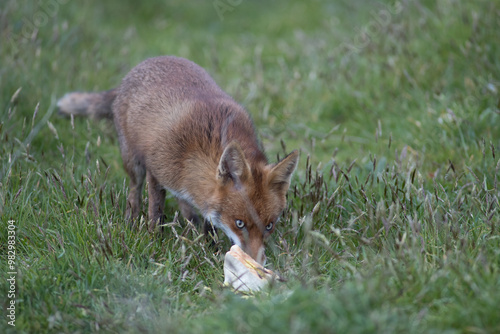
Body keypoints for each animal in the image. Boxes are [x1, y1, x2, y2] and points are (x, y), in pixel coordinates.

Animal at [60, 56, 298, 264]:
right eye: (239, 223)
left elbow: (210, 223)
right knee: (134, 191)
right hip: (133, 162)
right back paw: (131, 219)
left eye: (269, 226)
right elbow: (155, 213)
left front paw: (210, 248)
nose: (256, 261)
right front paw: (153, 241)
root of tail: (145, 63)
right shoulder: (156, 172)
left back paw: (190, 221)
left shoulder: (205, 193)